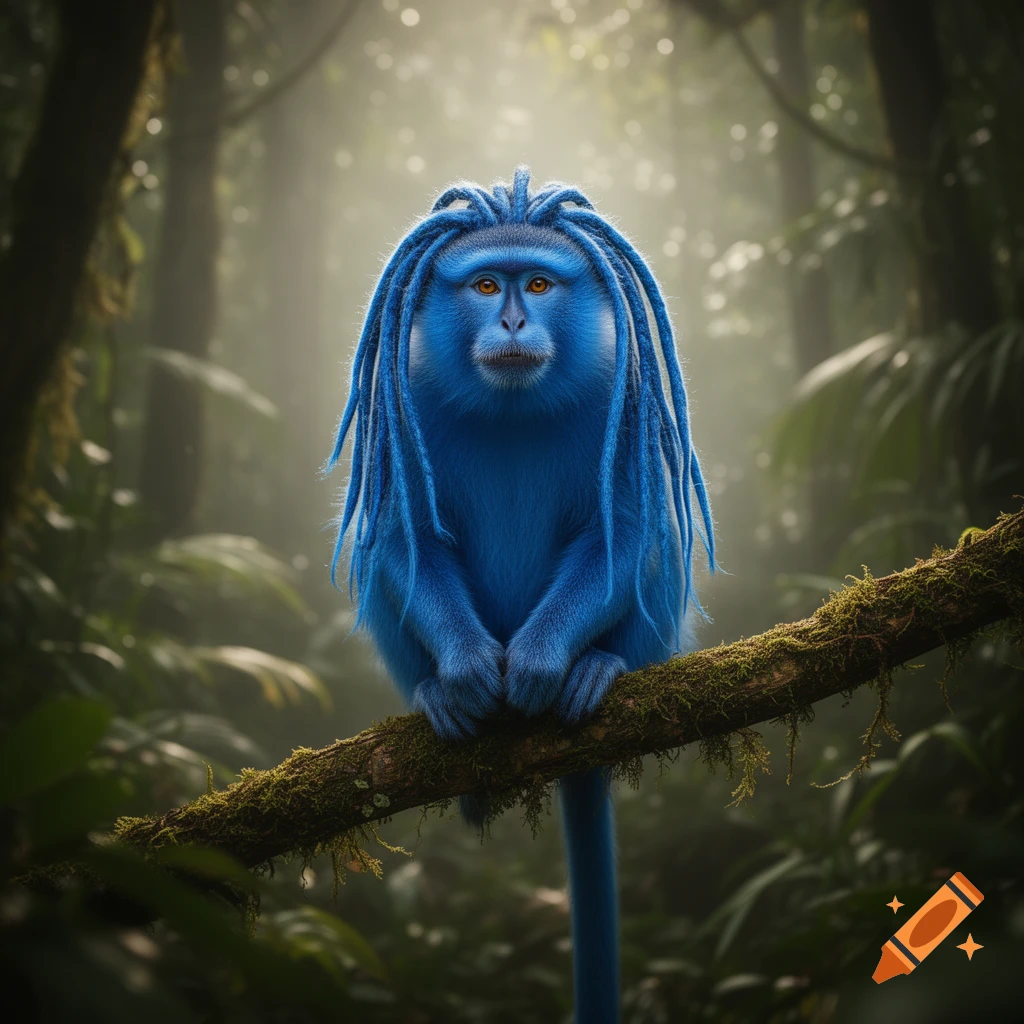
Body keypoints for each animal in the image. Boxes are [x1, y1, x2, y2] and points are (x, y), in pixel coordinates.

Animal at [325, 167, 715, 1024]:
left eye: (537, 283)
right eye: (484, 285)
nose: (510, 319)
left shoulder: (617, 399)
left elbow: (627, 531)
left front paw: (539, 659)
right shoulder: (410, 400)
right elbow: (404, 537)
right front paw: (468, 669)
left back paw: (600, 667)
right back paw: (439, 693)